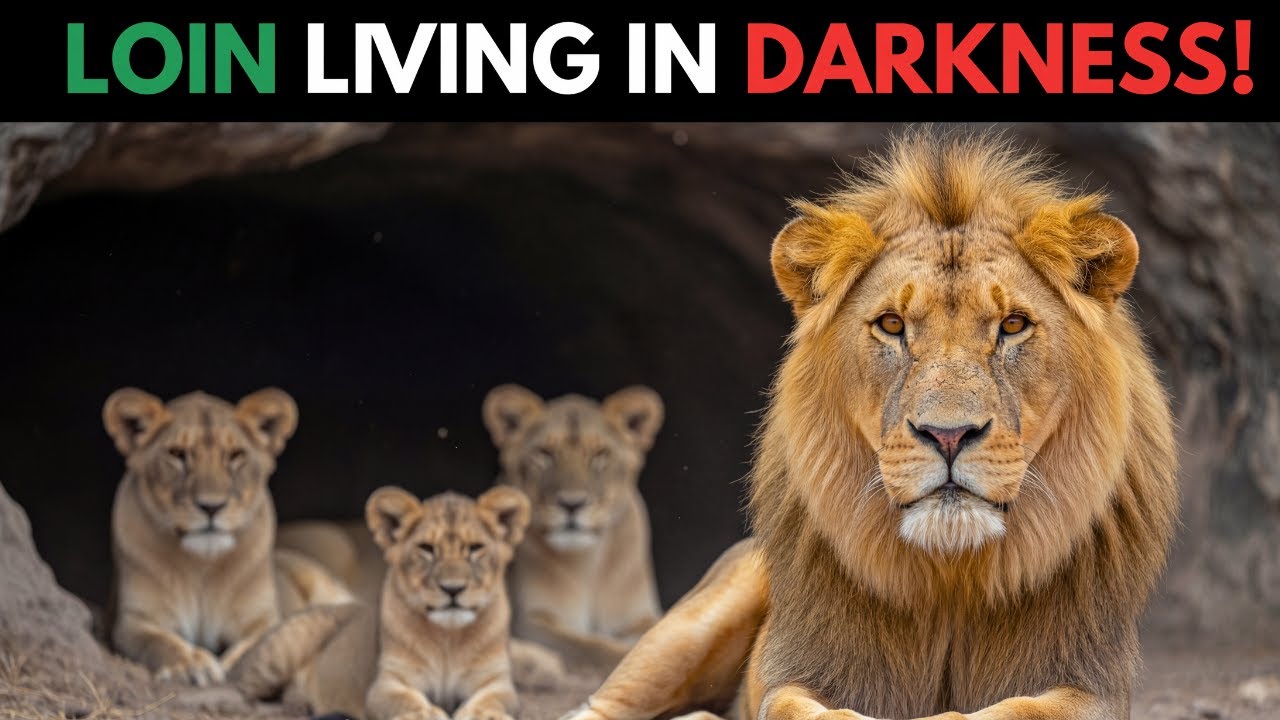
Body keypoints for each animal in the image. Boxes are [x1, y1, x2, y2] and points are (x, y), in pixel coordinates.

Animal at [103, 387, 355, 690]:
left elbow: (256, 647)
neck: (202, 566)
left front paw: (232, 668)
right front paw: (191, 665)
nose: (211, 506)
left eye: (236, 455)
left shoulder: (265, 620)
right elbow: (157, 642)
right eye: (177, 454)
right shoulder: (133, 622)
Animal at [278, 485, 538, 720]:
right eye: (427, 548)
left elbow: (492, 700)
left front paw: (484, 715)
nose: (452, 589)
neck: (449, 641)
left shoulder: (495, 681)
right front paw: (423, 714)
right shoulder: (387, 683)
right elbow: (405, 699)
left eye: (475, 548)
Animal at [482, 384, 665, 671]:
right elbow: (591, 648)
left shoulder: (637, 618)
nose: (572, 503)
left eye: (600, 454)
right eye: (545, 453)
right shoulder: (528, 621)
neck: (588, 565)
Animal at [560, 128, 1180, 720]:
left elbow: (1008, 710)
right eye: (891, 324)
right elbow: (796, 708)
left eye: (1012, 325)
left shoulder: (1092, 684)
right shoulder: (795, 672)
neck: (951, 580)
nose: (948, 435)